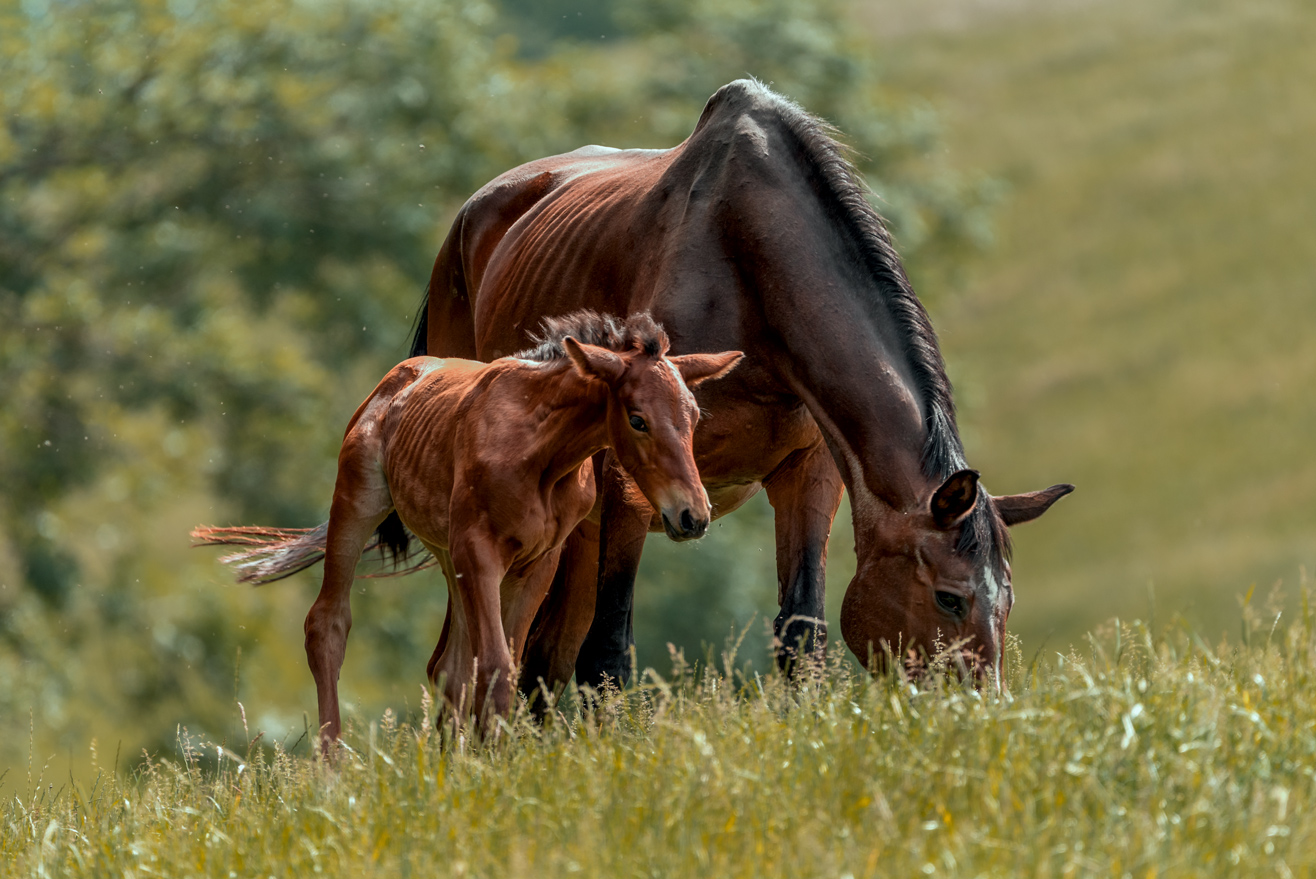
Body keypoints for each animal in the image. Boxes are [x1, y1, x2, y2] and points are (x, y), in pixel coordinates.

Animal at [194, 311, 742, 747]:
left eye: (694, 417)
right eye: (637, 419)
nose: (693, 515)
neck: (543, 454)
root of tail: (393, 382)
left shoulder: (536, 561)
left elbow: (505, 666)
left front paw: (487, 762)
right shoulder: (480, 551)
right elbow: (496, 667)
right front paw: (489, 766)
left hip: (446, 553)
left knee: (449, 668)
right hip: (359, 502)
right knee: (327, 624)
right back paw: (332, 770)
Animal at [410, 78, 1068, 689]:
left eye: (1006, 603)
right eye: (950, 597)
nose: (977, 707)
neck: (747, 264)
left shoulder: (807, 475)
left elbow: (801, 637)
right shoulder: (631, 486)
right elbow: (608, 654)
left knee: (543, 660)